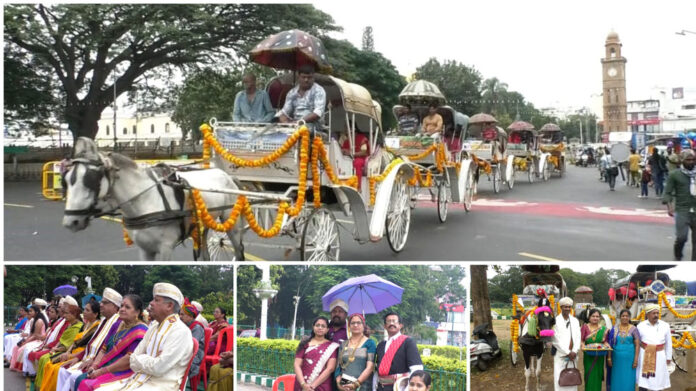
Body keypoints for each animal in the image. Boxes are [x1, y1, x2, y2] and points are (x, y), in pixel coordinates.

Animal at [63, 136, 242, 262]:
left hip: (230, 221)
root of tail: (225, 174)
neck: (145, 201)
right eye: (66, 179)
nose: (71, 222)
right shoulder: (144, 250)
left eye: (91, 179)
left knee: (238, 249)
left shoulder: (165, 248)